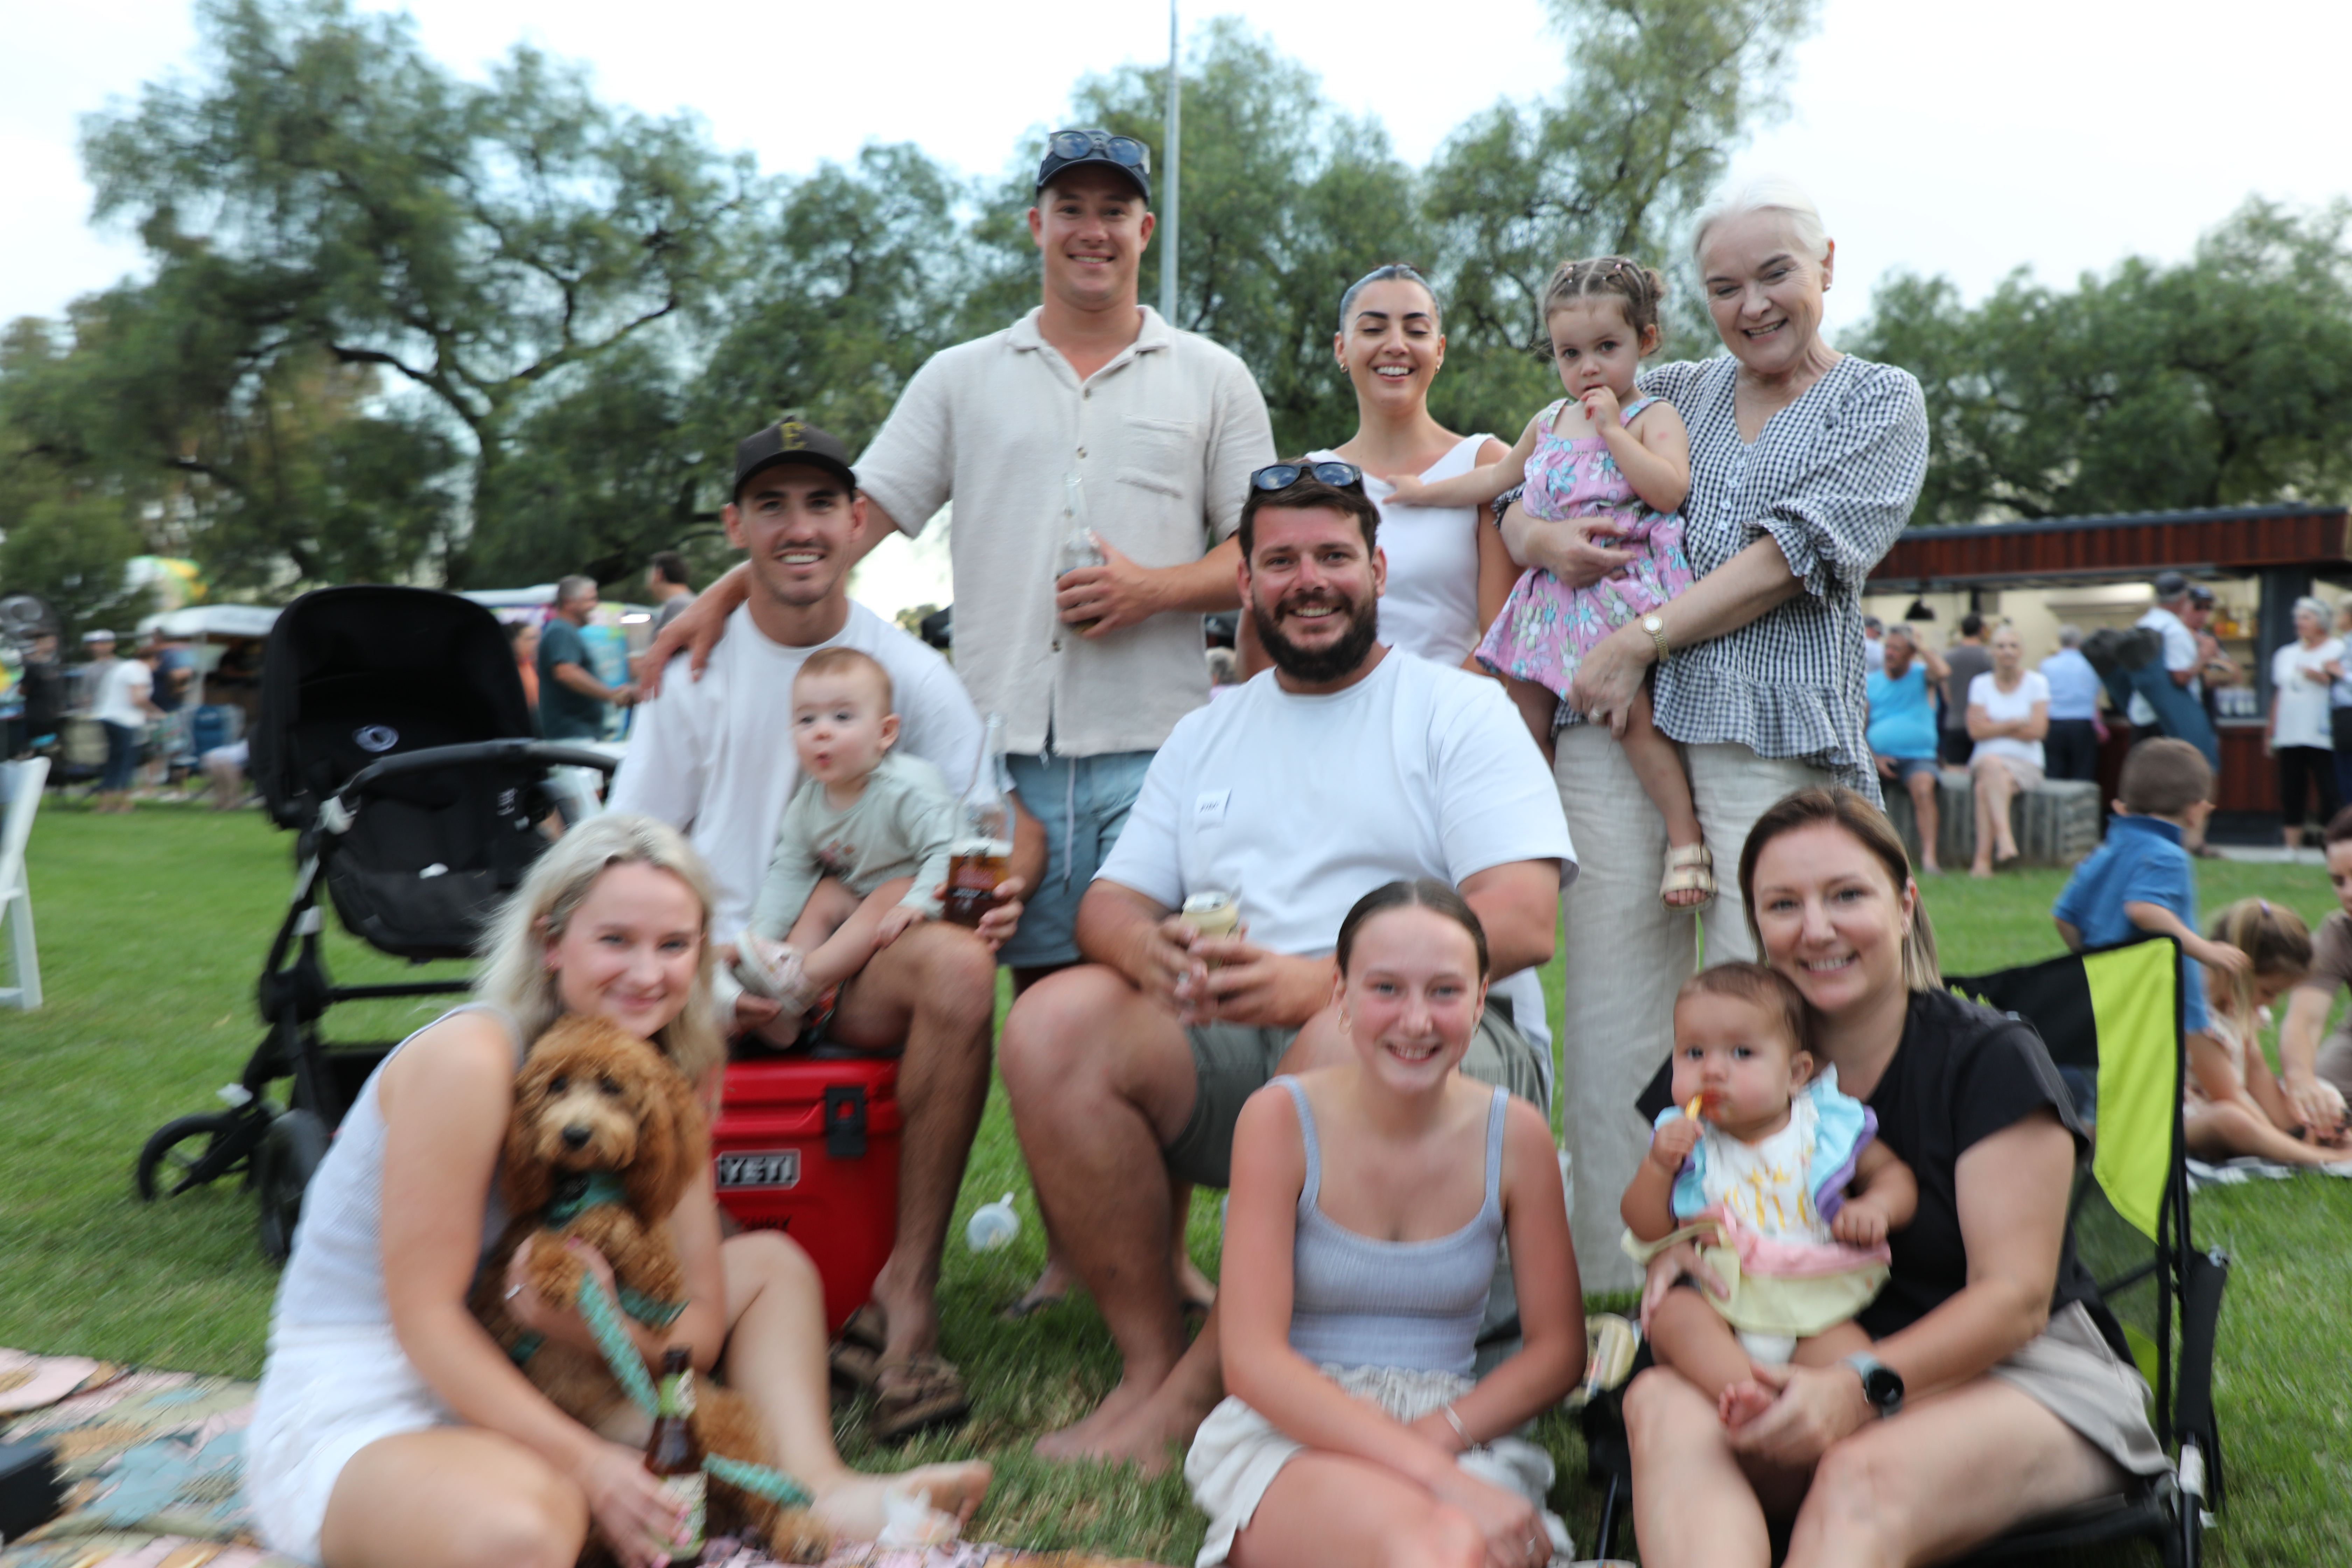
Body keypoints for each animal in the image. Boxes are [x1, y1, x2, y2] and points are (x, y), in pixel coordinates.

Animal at [468, 1011, 828, 1561]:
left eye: (612, 1086)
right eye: (556, 1085)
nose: (575, 1134)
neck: (581, 1185)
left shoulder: (650, 1259)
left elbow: (630, 1229)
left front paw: (603, 1252)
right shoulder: (500, 1293)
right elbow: (548, 1239)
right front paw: (555, 1265)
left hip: (721, 1424)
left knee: (766, 1496)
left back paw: (802, 1535)